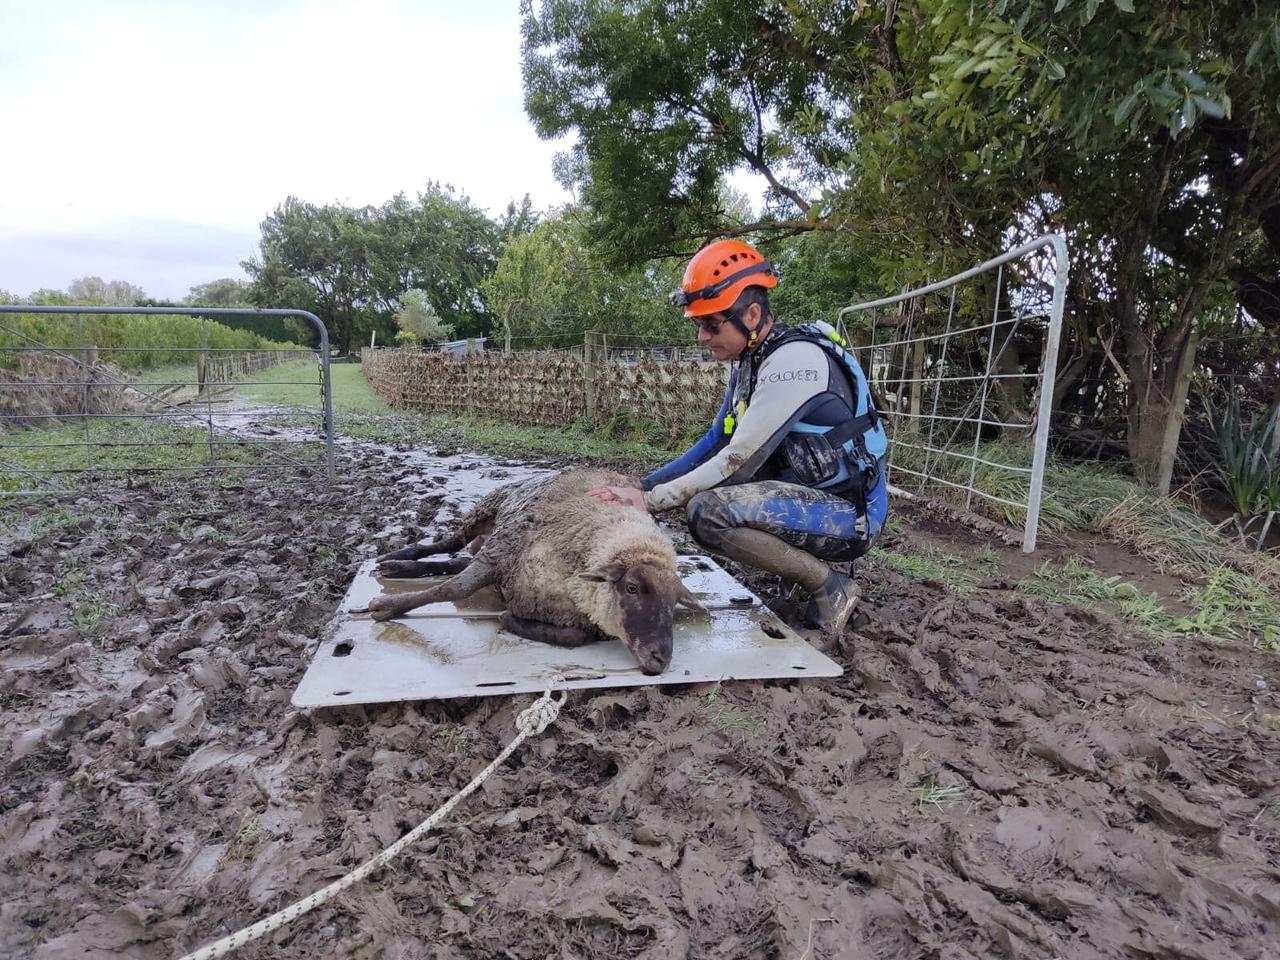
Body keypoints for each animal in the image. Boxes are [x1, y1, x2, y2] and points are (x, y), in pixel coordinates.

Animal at [367, 468, 701, 675]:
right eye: (632, 587)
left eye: (674, 602)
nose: (661, 659)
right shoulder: (502, 552)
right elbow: (454, 588)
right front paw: (387, 607)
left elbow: (574, 637)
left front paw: (509, 618)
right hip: (486, 515)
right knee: (451, 542)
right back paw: (397, 559)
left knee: (455, 560)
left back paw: (402, 566)